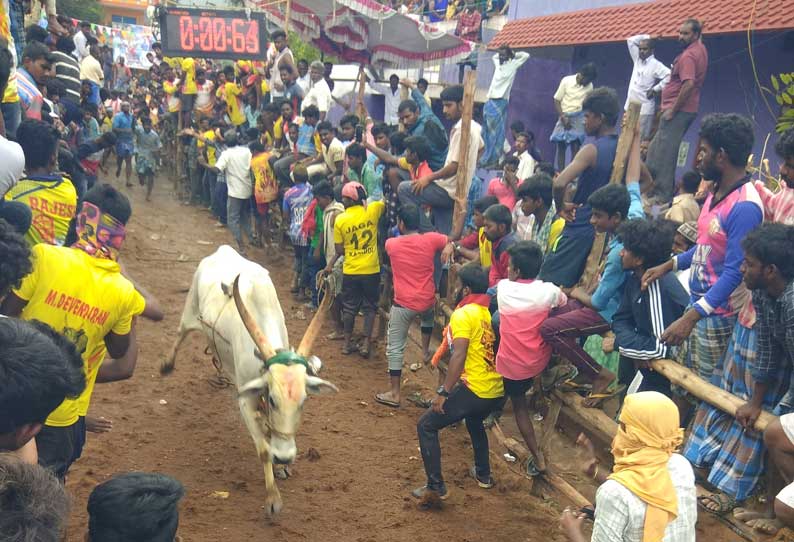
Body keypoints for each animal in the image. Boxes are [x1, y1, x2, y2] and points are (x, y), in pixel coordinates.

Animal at [159, 246, 336, 520]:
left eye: (304, 401)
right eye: (272, 399)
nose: (285, 457)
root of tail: (222, 250)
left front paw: (281, 468)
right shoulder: (247, 400)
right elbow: (263, 448)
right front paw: (273, 499)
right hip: (190, 310)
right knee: (180, 333)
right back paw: (167, 363)